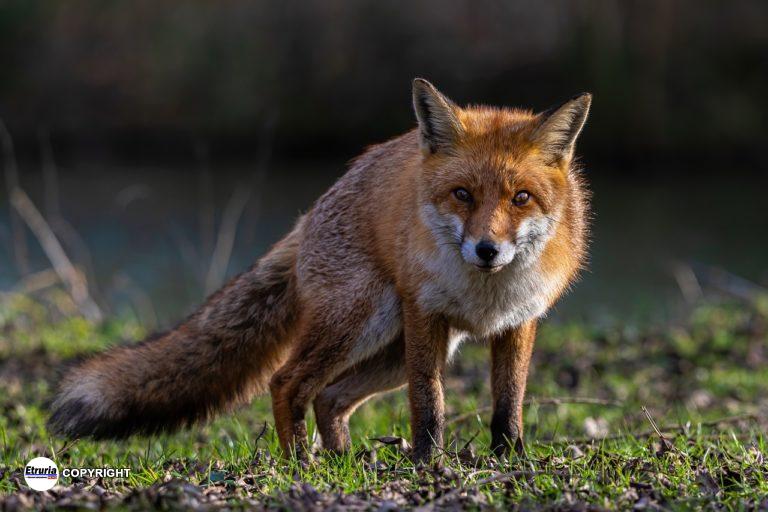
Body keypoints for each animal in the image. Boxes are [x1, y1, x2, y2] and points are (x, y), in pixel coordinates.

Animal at [49, 78, 591, 462]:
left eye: (521, 198)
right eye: (462, 194)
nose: (486, 250)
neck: (485, 294)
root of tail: (309, 214)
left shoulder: (519, 321)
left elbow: (508, 403)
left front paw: (510, 459)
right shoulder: (425, 315)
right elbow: (429, 404)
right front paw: (428, 462)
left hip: (393, 350)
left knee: (329, 396)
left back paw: (343, 460)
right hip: (366, 323)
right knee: (288, 382)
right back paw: (300, 463)